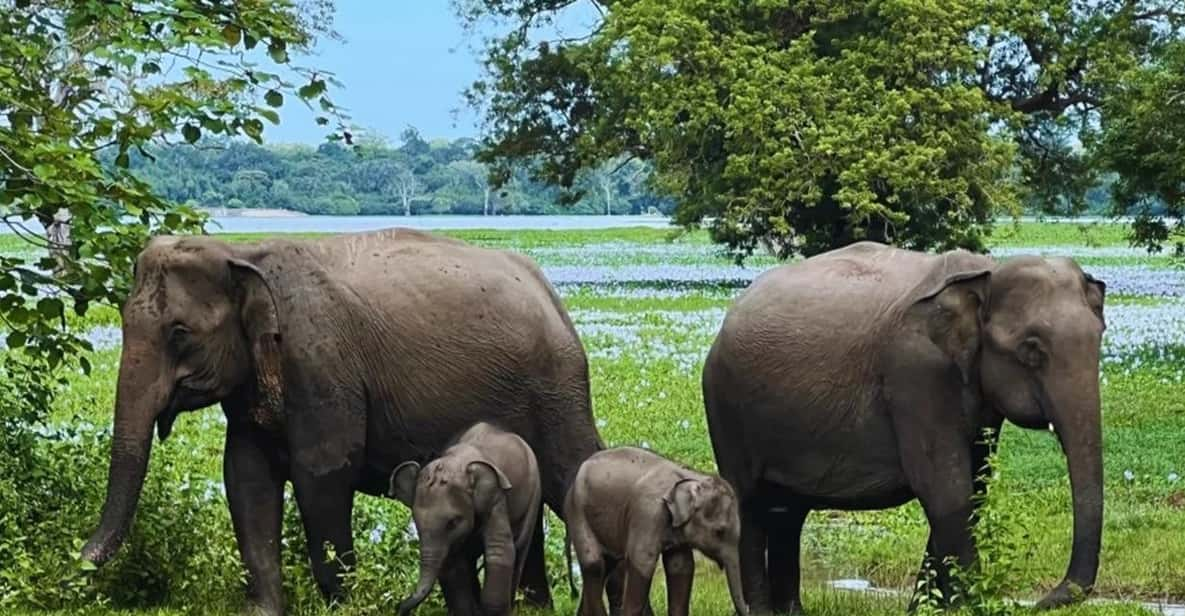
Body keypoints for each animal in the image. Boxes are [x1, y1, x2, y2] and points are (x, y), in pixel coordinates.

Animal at [388, 421, 542, 616]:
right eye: (416, 523)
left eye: (452, 522)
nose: (400, 607)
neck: (456, 461)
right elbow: (452, 562)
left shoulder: (496, 499)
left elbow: (500, 550)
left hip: (534, 497)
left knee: (519, 550)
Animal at [564, 447, 748, 616]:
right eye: (719, 531)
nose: (746, 609)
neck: (691, 476)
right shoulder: (647, 513)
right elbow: (642, 562)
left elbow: (681, 565)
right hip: (577, 510)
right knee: (594, 565)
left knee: (607, 564)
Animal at [701, 242, 1099, 611]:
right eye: (1031, 350)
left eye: (1100, 339)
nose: (1041, 601)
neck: (986, 272)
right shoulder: (915, 375)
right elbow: (945, 487)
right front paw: (967, 608)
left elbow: (975, 485)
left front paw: (927, 609)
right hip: (724, 403)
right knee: (749, 501)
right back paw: (759, 611)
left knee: (788, 511)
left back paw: (792, 612)